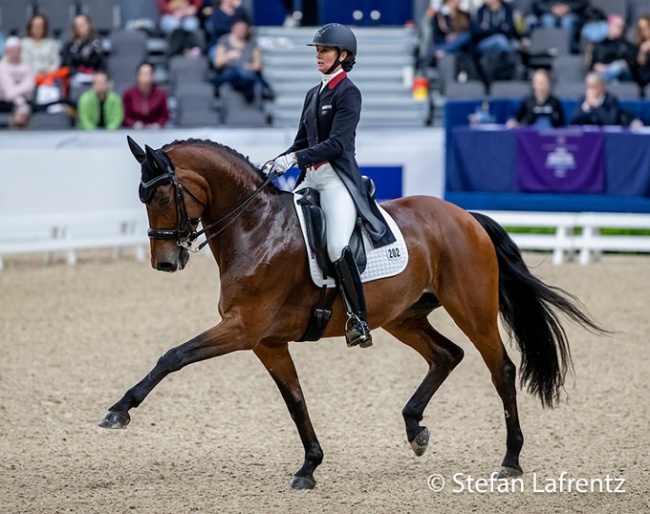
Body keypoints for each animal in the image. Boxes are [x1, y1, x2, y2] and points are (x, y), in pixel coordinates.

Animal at [98, 136, 600, 488]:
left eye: (163, 196)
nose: (165, 262)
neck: (255, 228)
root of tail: (464, 215)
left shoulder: (242, 329)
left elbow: (173, 356)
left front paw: (119, 411)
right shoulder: (266, 341)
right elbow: (295, 400)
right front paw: (309, 466)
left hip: (471, 309)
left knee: (501, 370)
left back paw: (510, 459)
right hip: (403, 316)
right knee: (446, 355)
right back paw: (415, 428)